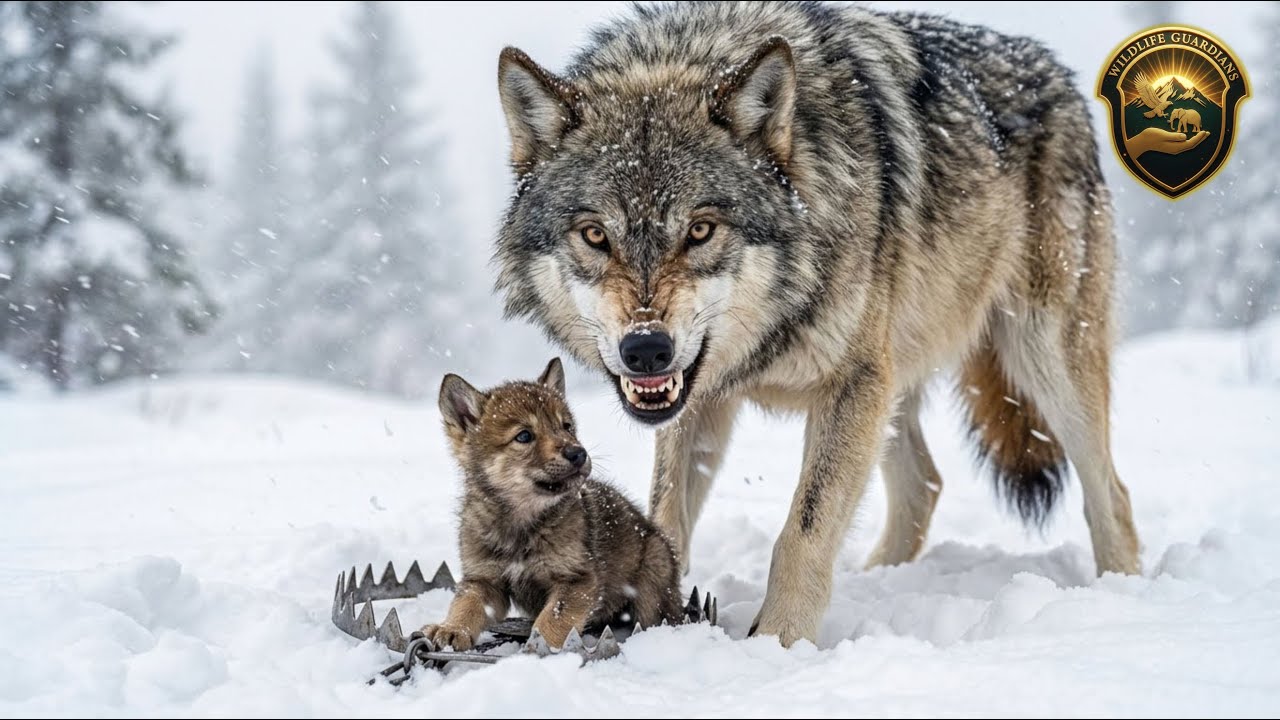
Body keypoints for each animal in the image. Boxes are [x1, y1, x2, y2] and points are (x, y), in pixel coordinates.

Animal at [422, 358, 684, 650]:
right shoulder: (484, 580)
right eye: (524, 436)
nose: (578, 453)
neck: (521, 523)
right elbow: (466, 605)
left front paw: (539, 646)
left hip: (654, 568)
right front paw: (450, 629)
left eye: (566, 426)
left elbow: (553, 619)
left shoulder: (576, 580)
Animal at [493, 1, 1141, 646]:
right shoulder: (702, 400)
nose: (646, 350)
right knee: (925, 485)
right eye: (595, 235)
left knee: (1111, 495)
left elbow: (803, 533)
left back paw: (1119, 597)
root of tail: (1054, 70)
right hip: (896, 382)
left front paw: (775, 645)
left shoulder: (850, 383)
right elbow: (665, 515)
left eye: (700, 230)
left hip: (1039, 358)